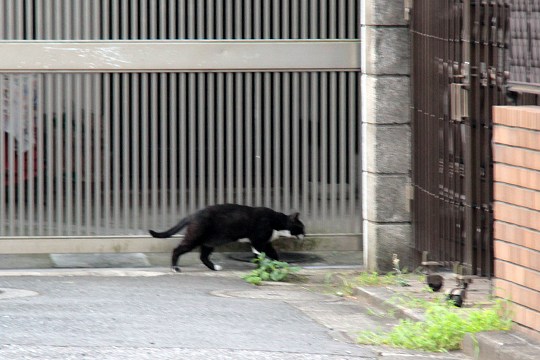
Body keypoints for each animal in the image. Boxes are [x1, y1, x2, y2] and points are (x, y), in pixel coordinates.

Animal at [150, 204, 306, 272]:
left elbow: (260, 255)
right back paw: (175, 268)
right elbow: (269, 253)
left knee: (203, 256)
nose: (305, 234)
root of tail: (193, 215)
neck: (277, 222)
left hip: (210, 241)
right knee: (177, 249)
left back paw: (215, 268)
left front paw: (263, 266)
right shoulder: (260, 241)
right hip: (196, 237)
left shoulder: (257, 243)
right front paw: (274, 265)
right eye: (302, 227)